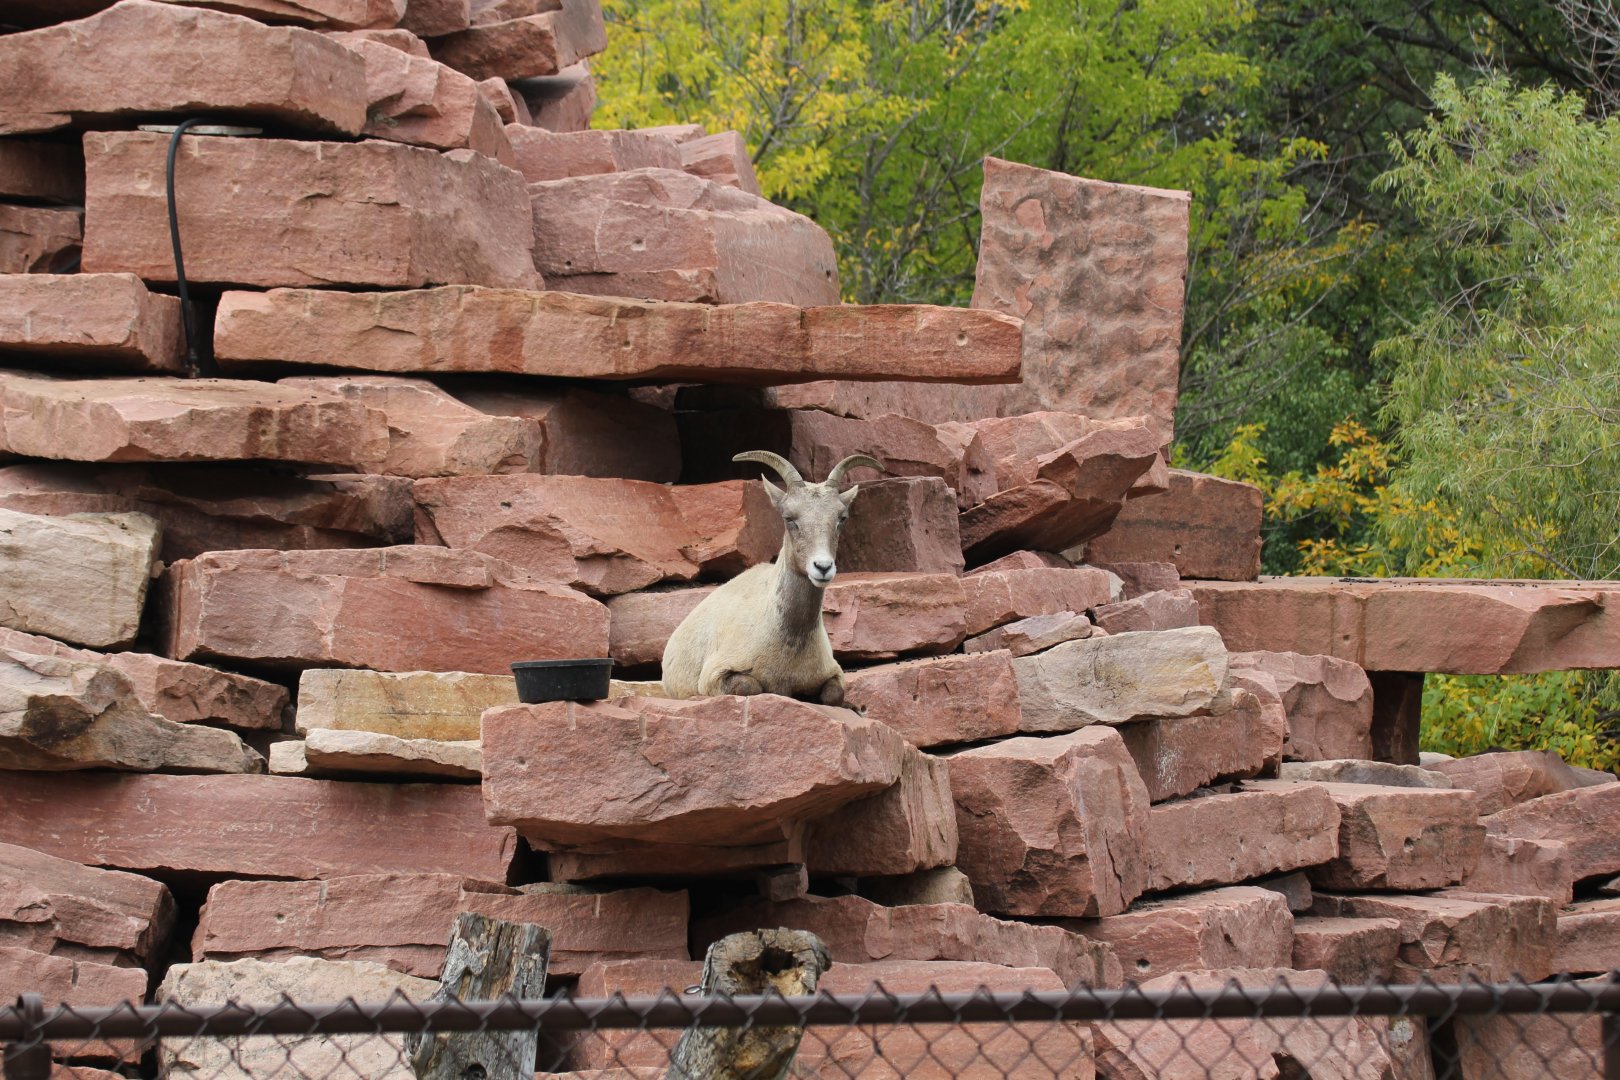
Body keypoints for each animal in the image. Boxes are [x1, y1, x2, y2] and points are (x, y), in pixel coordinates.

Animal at [660, 450, 881, 705]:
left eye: (841, 518)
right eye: (789, 518)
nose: (823, 567)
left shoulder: (832, 674)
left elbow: (834, 694)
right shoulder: (714, 676)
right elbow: (749, 686)